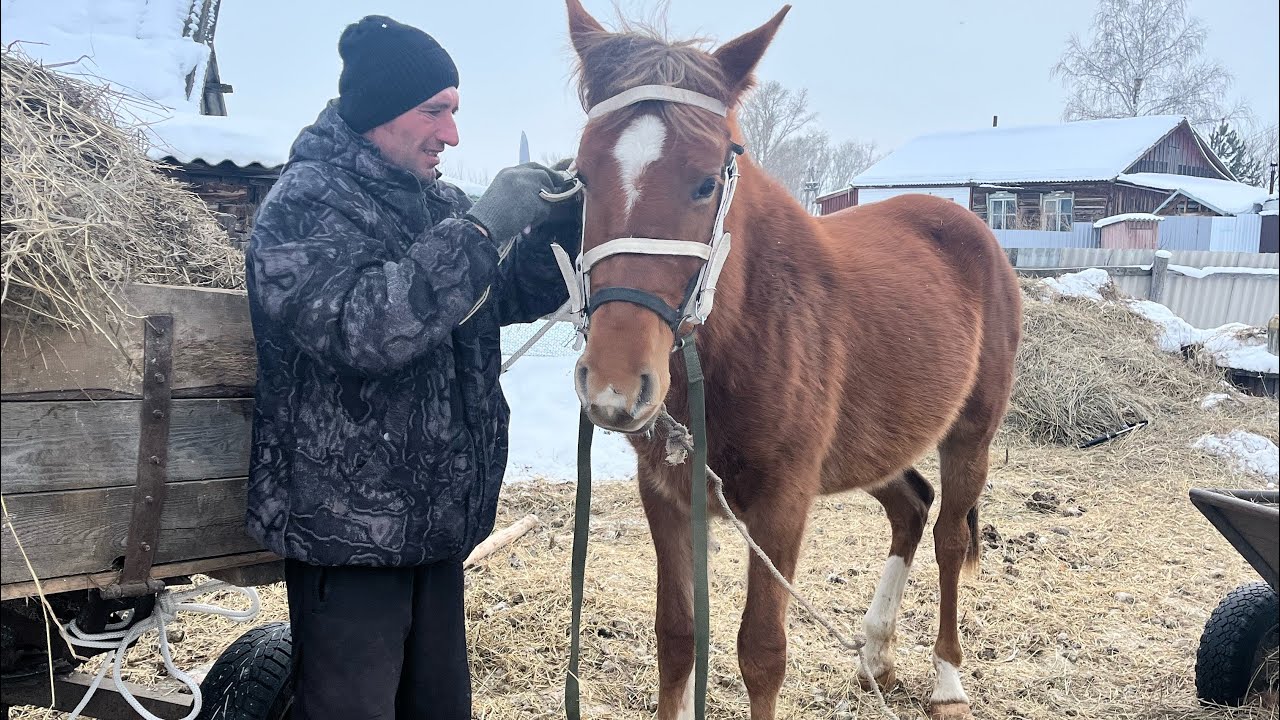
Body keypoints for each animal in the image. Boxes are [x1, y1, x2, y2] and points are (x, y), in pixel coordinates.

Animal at [558, 2, 1023, 718]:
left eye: (705, 181)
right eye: (581, 177)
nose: (612, 385)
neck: (748, 327)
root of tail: (974, 230)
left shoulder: (782, 503)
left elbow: (761, 653)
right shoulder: (666, 494)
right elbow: (677, 635)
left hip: (970, 433)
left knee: (948, 535)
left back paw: (947, 679)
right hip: (872, 445)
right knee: (910, 508)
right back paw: (875, 654)